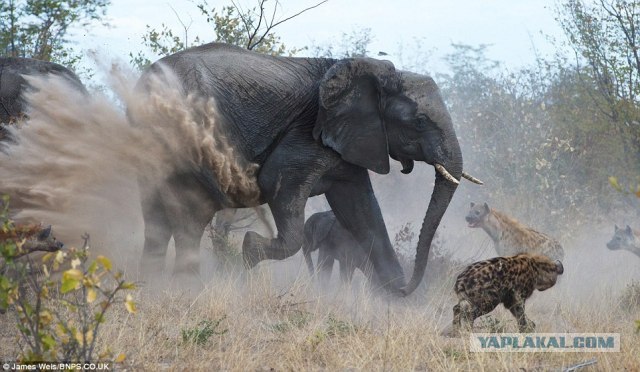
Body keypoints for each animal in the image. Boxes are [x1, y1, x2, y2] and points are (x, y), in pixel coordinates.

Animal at [132, 42, 480, 294]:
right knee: (190, 215)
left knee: (156, 221)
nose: (408, 287)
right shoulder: (305, 134)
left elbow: (362, 210)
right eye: (419, 122)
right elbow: (278, 185)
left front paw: (394, 301)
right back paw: (184, 291)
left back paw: (150, 288)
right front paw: (249, 252)